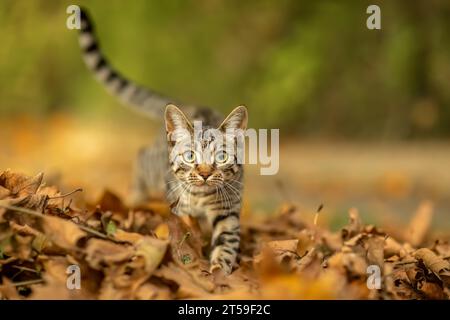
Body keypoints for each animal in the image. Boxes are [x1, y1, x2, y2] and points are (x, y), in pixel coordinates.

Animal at [77, 7, 246, 274]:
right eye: (190, 156)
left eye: (221, 156)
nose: (205, 173)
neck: (201, 199)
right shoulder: (179, 209)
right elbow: (183, 234)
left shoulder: (228, 211)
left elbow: (226, 243)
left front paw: (219, 270)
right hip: (151, 167)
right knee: (141, 156)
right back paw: (135, 197)